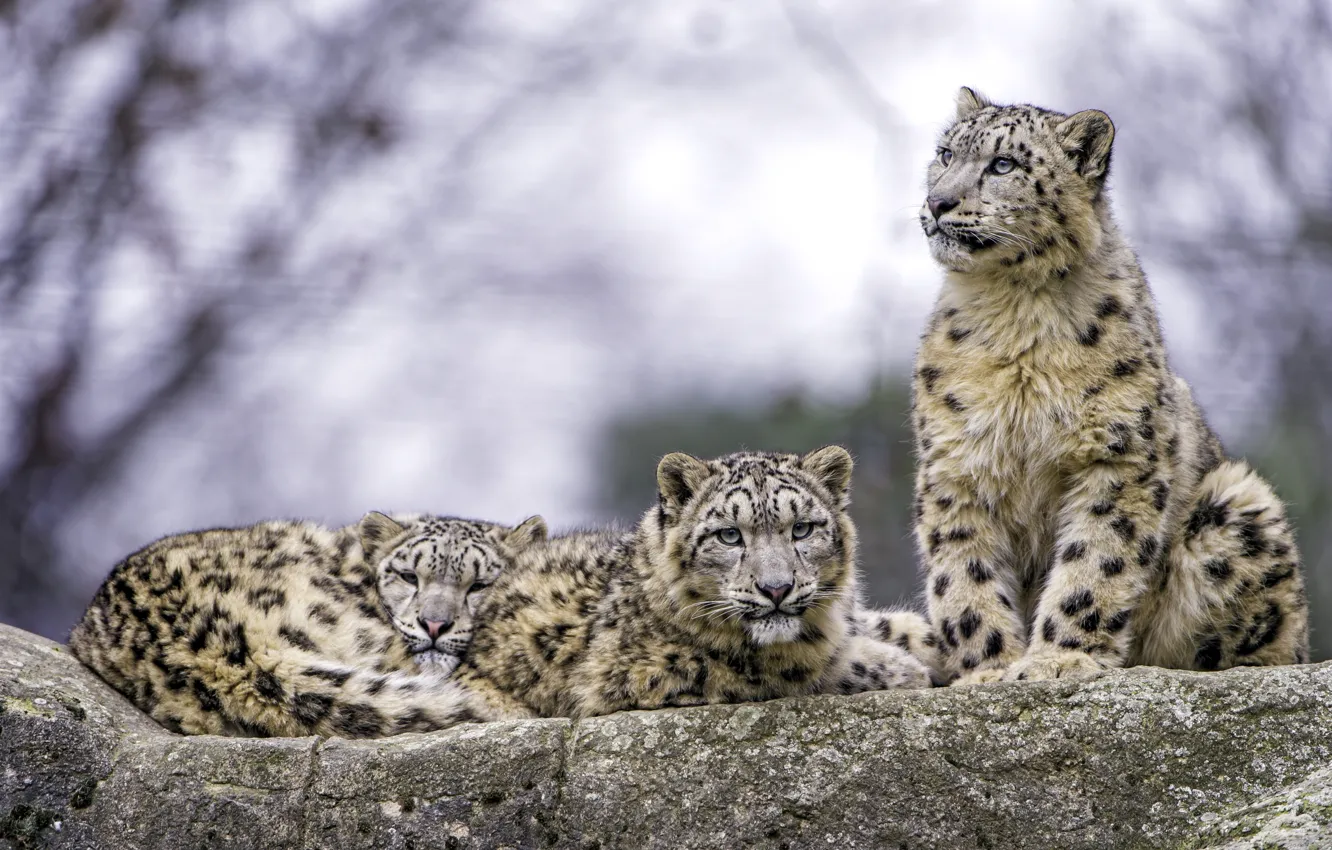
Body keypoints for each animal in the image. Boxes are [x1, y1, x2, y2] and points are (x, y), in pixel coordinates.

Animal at [451, 447, 933, 722]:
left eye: (801, 529)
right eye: (729, 535)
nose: (776, 589)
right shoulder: (658, 668)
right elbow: (797, 670)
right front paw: (903, 668)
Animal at [910, 86, 1309, 686]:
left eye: (1003, 165)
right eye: (944, 154)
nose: (938, 202)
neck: (1013, 317)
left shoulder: (1116, 456)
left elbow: (1096, 560)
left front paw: (1058, 660)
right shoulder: (956, 465)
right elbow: (963, 573)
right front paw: (989, 670)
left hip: (1239, 504)